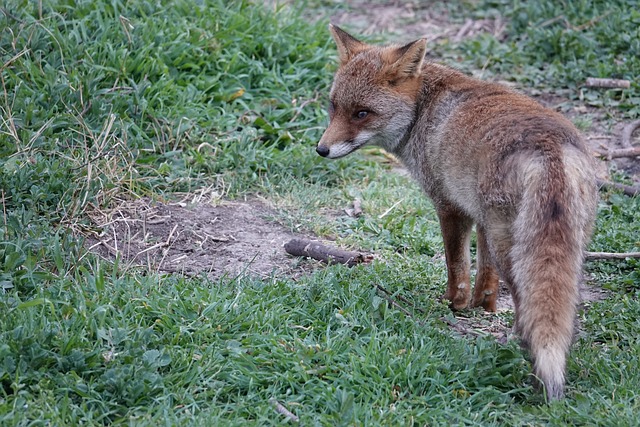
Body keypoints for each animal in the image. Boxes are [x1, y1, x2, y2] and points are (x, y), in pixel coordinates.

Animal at [316, 25, 600, 402]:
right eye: (334, 106)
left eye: (362, 113)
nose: (321, 149)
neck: (423, 111)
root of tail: (549, 149)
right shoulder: (479, 216)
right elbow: (486, 276)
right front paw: (484, 307)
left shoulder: (449, 205)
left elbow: (457, 267)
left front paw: (455, 304)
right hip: (554, 244)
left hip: (512, 247)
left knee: (526, 304)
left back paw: (520, 353)